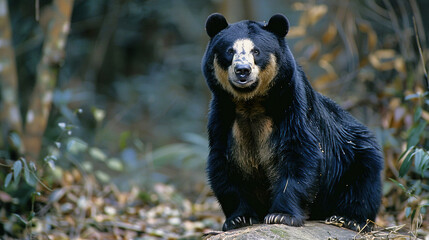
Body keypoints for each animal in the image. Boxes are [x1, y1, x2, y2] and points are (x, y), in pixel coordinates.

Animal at [202, 13, 382, 232]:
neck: (249, 103)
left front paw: (281, 216)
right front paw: (239, 219)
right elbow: (224, 164)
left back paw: (347, 219)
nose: (242, 71)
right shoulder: (222, 116)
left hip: (354, 156)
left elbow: (299, 153)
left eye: (256, 51)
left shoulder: (292, 106)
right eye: (230, 51)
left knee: (363, 184)